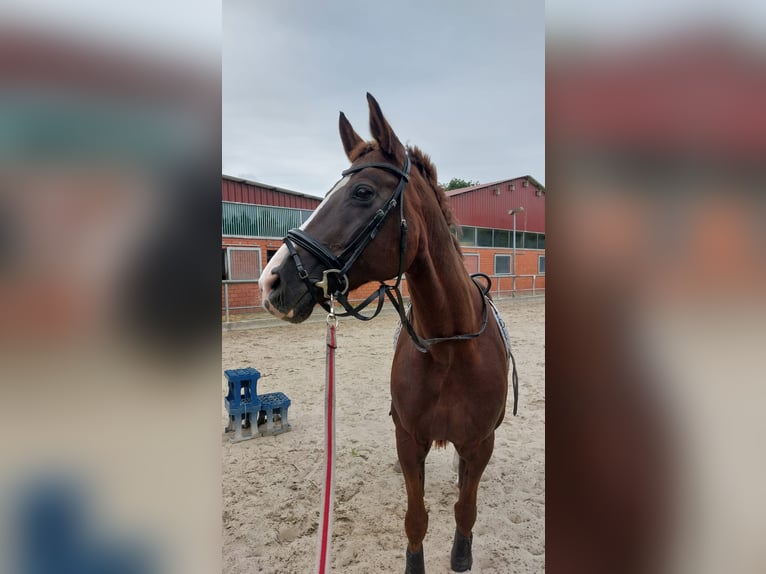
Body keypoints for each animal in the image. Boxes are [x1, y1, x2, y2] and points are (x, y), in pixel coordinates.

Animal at [260, 93, 520, 572]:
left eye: (363, 192)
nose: (270, 282)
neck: (448, 348)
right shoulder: (409, 440)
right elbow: (416, 519)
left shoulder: (479, 443)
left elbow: (465, 511)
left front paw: (461, 550)